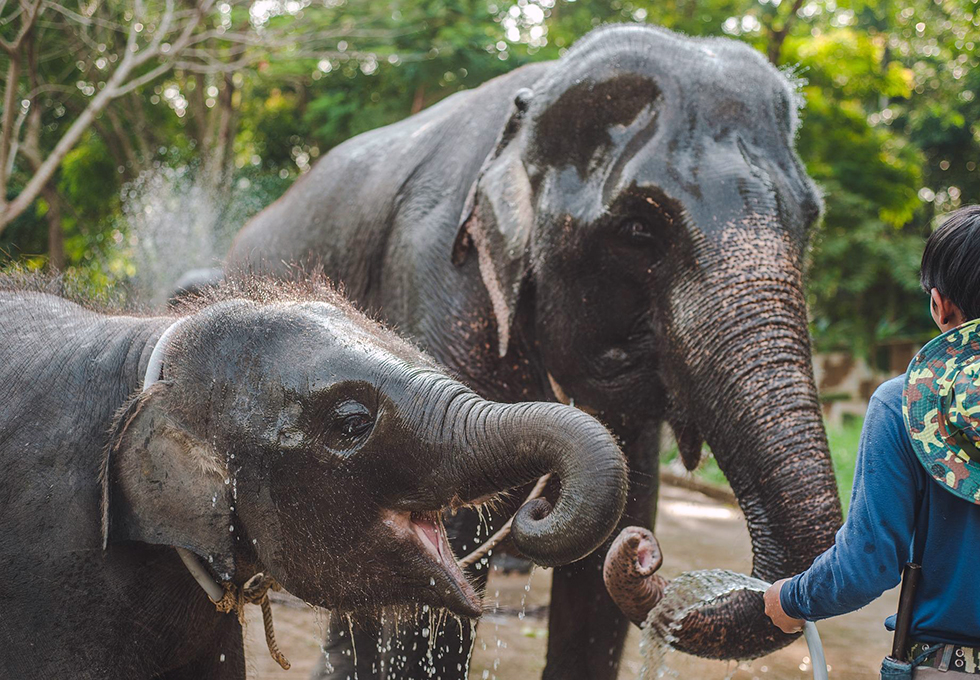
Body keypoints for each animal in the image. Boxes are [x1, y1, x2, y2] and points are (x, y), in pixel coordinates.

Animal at [226, 23, 848, 676]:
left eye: (810, 220)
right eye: (638, 231)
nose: (645, 556)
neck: (534, 99)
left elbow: (609, 554)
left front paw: (619, 536)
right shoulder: (437, 275)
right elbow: (441, 550)